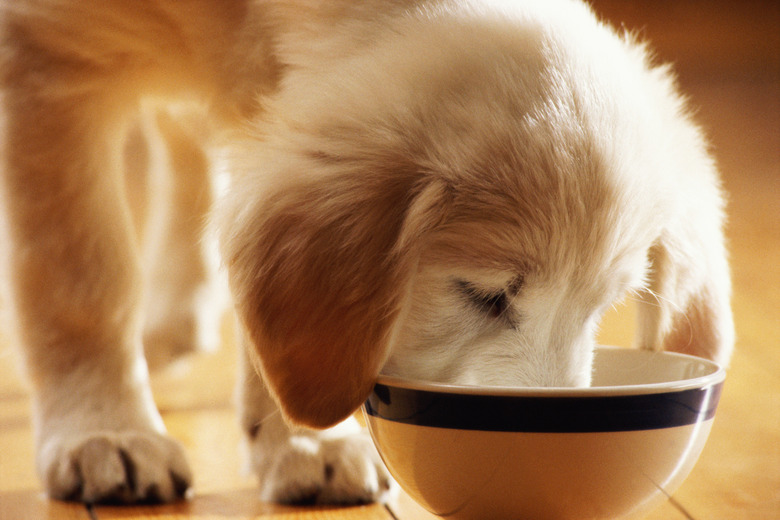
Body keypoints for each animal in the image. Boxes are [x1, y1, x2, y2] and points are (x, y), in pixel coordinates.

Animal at [0, 0, 732, 508]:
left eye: (601, 309)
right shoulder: (44, 56)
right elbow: (81, 280)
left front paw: (305, 439)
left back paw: (178, 317)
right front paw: (105, 433)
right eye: (482, 293)